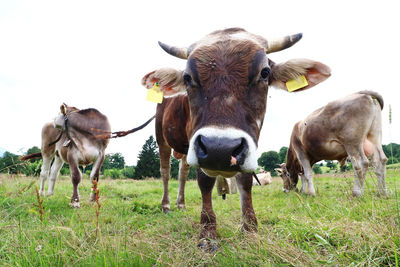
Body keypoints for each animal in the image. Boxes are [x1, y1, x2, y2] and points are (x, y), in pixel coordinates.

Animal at [142, 27, 330, 249]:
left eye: (265, 73)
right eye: (187, 77)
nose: (220, 148)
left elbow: (246, 181)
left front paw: (250, 229)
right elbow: (205, 182)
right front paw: (208, 232)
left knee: (182, 172)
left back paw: (181, 204)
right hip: (161, 138)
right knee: (165, 171)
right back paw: (166, 205)